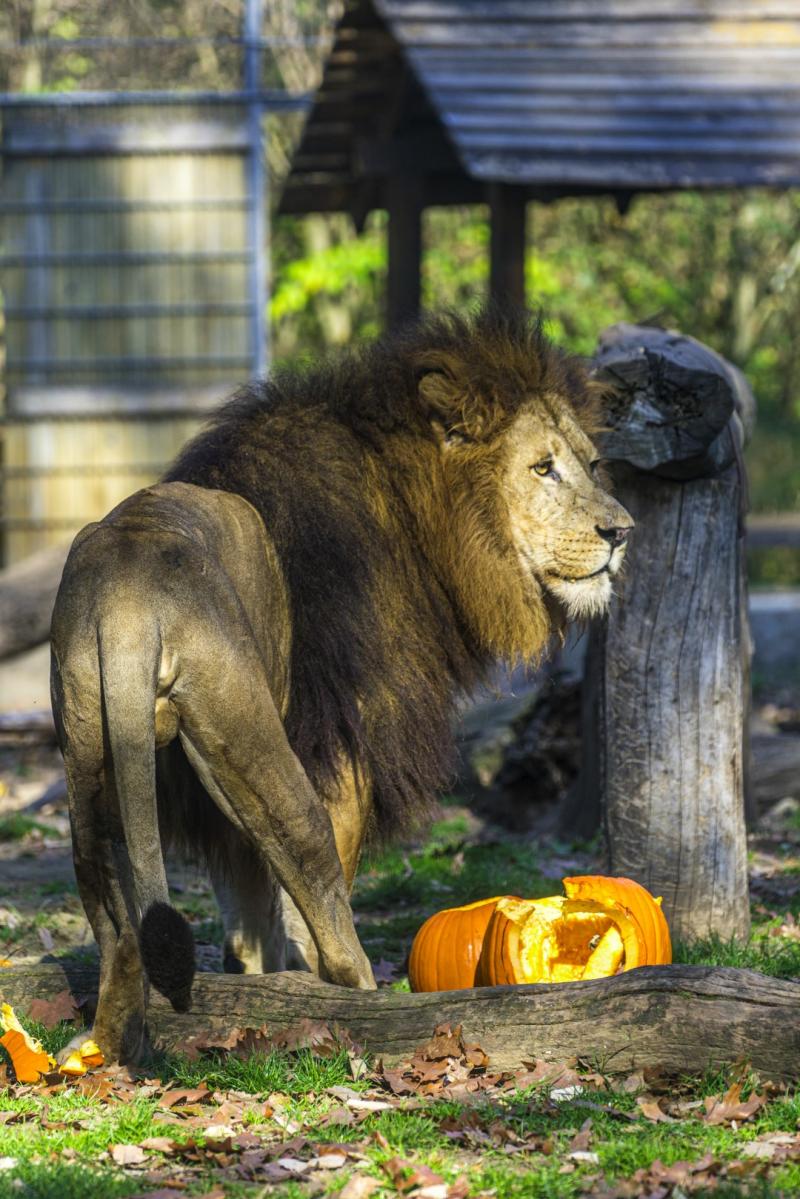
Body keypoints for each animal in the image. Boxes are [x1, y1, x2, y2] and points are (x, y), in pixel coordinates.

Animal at [53, 306, 633, 1059]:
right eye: (542, 467)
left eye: (591, 464)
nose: (621, 531)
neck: (422, 517)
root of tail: (129, 595)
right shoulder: (345, 737)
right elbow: (308, 901)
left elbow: (251, 921)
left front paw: (259, 988)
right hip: (253, 742)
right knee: (321, 892)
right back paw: (368, 1012)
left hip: (92, 763)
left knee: (117, 925)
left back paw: (103, 1045)